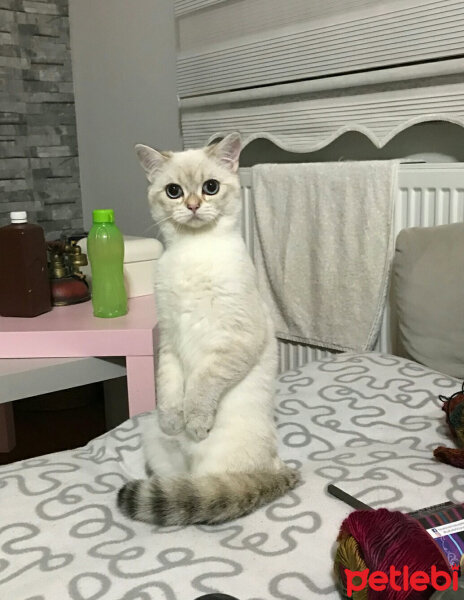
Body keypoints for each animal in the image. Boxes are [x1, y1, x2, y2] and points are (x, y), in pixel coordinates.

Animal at [118, 132, 300, 524]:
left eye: (210, 187)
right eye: (173, 191)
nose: (192, 205)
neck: (193, 251)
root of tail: (280, 468)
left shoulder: (236, 339)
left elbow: (202, 384)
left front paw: (195, 421)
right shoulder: (169, 340)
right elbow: (170, 387)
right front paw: (175, 420)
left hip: (220, 469)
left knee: (206, 494)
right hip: (155, 442)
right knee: (174, 482)